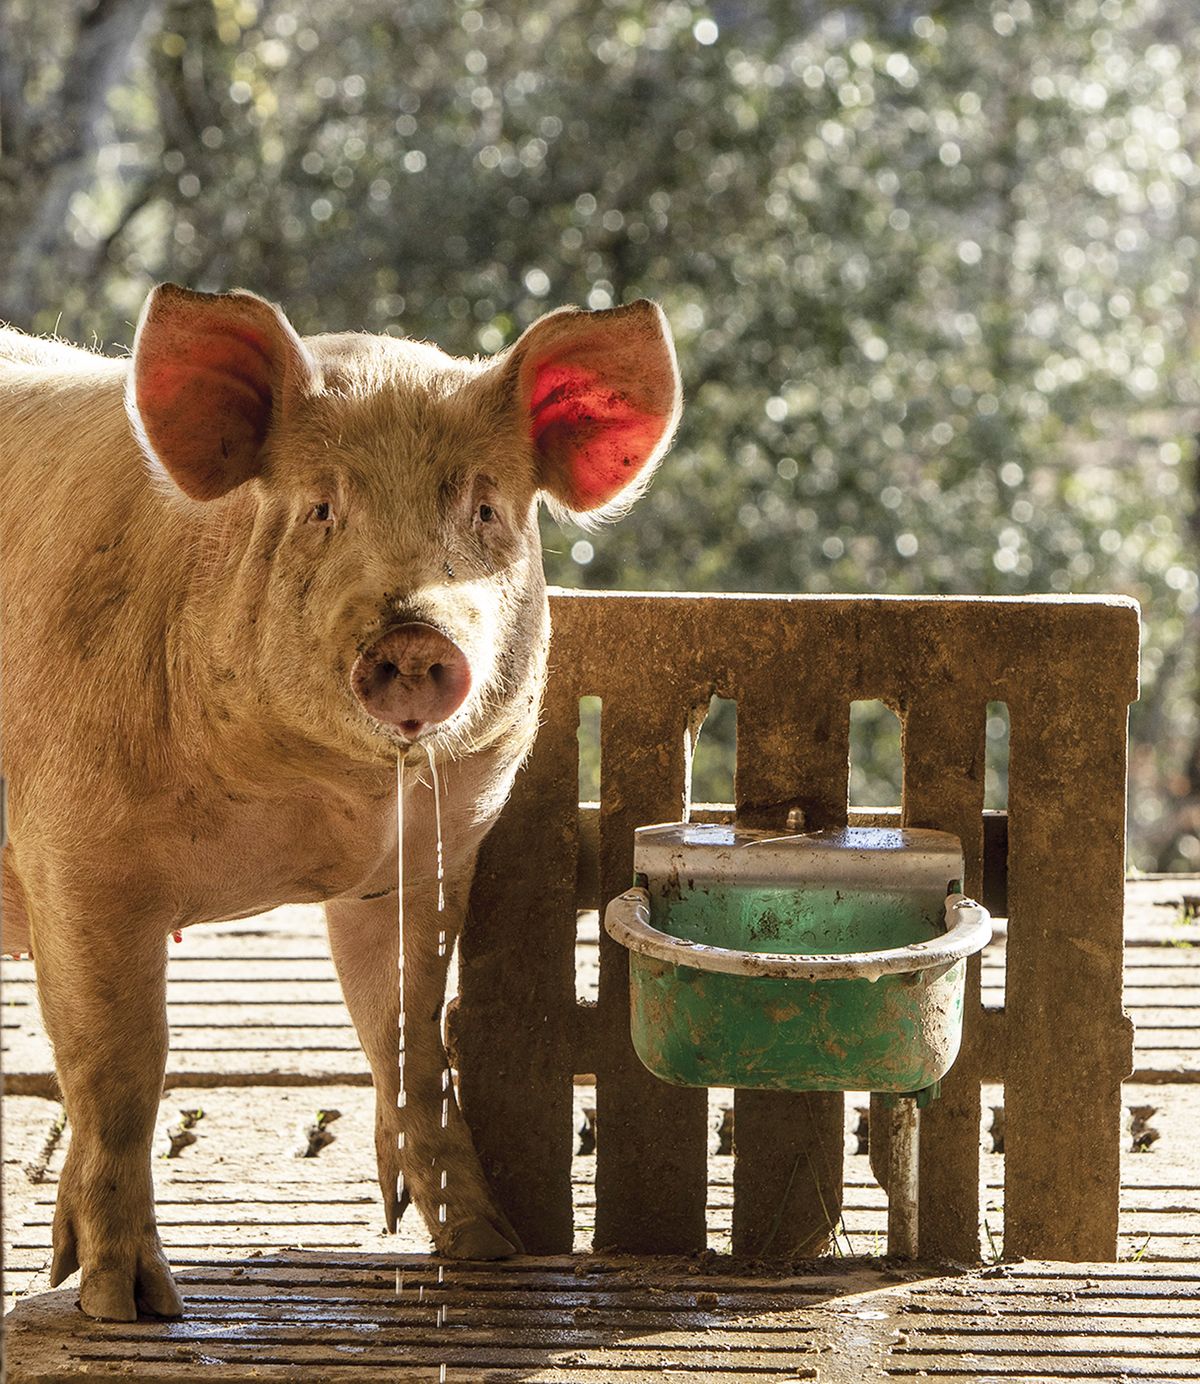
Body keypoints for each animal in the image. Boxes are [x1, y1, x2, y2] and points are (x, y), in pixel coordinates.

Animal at [0, 284, 681, 1321]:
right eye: (322, 507)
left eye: (486, 507)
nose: (413, 635)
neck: (316, 799)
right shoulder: (72, 853)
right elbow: (120, 1067)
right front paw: (127, 1303)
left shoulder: (426, 856)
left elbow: (412, 1039)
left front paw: (484, 1248)